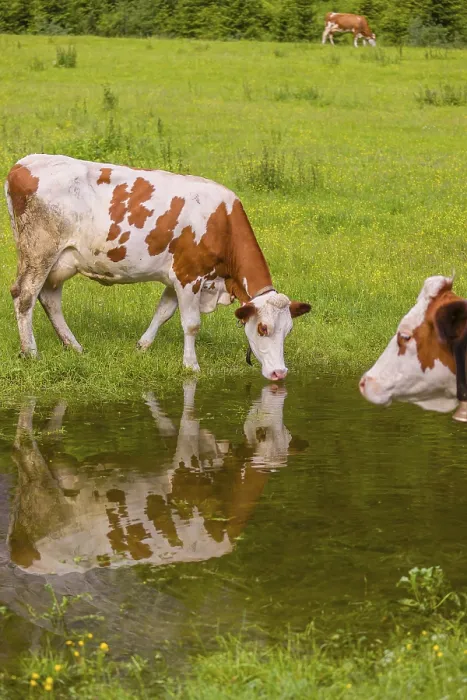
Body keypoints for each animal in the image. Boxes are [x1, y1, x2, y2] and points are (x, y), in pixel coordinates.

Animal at [5, 155, 311, 381]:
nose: (280, 373)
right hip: (39, 252)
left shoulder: (175, 278)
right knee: (25, 296)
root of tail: (23, 163)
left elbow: (163, 312)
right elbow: (191, 324)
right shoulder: (189, 276)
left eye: (288, 331)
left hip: (60, 262)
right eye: (262, 328)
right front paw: (191, 365)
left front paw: (142, 346)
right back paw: (30, 352)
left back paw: (74, 346)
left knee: (49, 299)